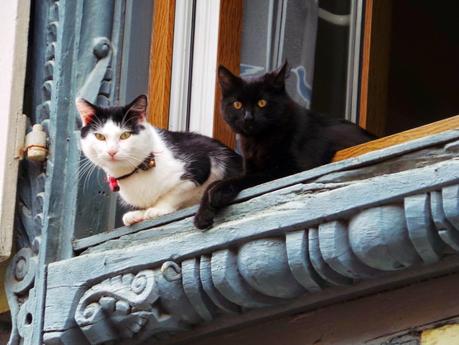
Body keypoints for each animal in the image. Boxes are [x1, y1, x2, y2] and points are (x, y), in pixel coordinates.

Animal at [76, 94, 241, 226]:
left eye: (125, 135)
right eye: (100, 136)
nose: (111, 151)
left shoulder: (201, 164)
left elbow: (177, 191)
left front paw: (157, 208)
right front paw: (138, 213)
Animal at [192, 61, 376, 228]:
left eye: (262, 103)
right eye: (237, 104)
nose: (248, 118)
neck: (258, 140)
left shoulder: (290, 170)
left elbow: (245, 179)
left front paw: (219, 191)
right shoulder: (251, 167)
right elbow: (215, 184)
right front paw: (202, 215)